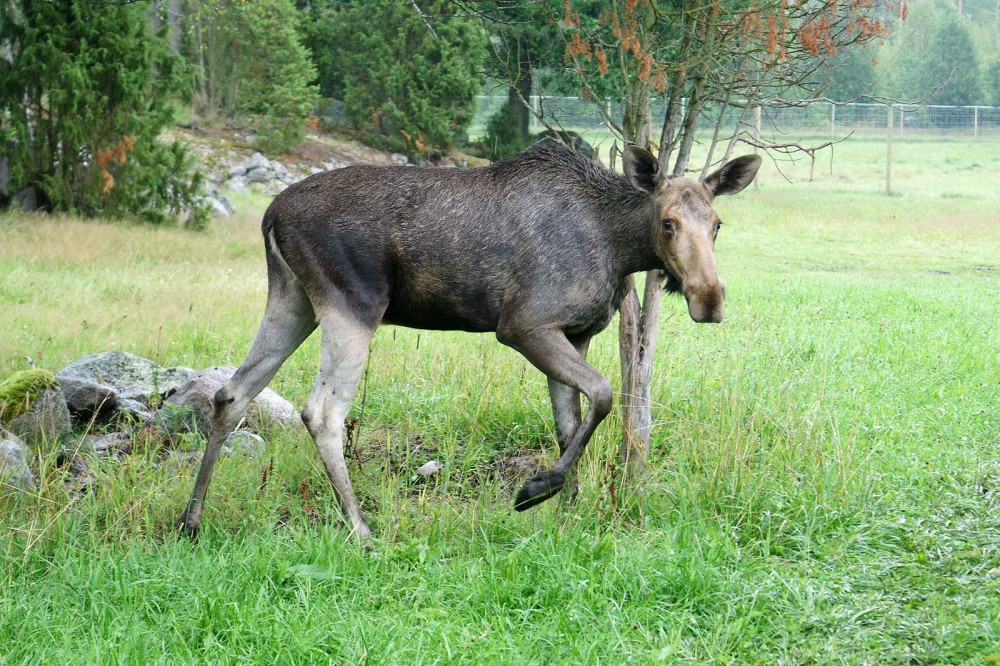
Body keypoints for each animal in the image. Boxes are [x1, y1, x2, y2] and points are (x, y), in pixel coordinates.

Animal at [178, 141, 756, 540]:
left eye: (718, 224)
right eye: (668, 222)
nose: (709, 298)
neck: (617, 247)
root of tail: (270, 216)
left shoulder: (577, 333)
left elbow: (571, 424)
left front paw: (566, 513)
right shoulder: (524, 325)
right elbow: (605, 396)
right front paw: (536, 490)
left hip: (293, 298)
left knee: (232, 393)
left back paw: (192, 519)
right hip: (353, 303)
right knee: (321, 412)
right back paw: (361, 530)